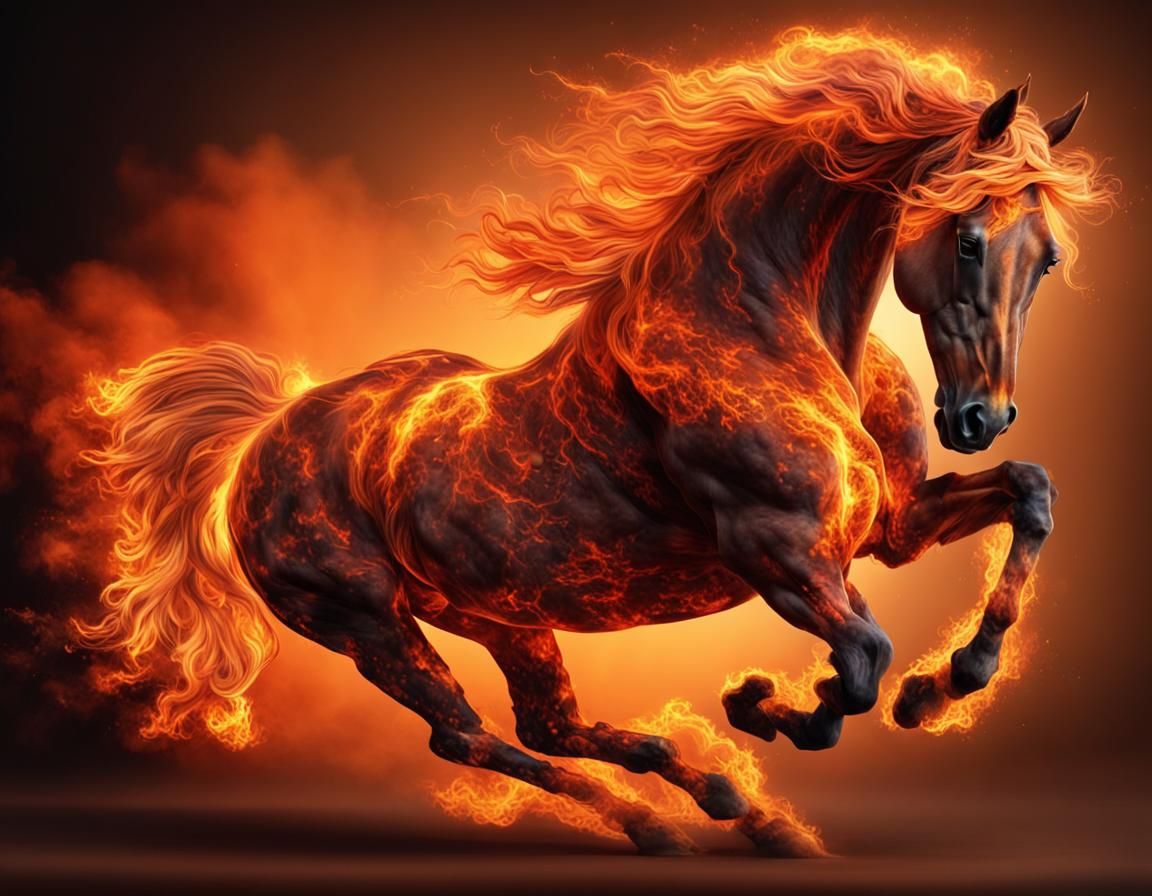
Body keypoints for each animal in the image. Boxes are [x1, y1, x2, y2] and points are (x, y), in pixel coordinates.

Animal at [80, 30, 1114, 856]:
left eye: (1048, 256)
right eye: (970, 237)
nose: (977, 416)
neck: (772, 324)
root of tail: (262, 435)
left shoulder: (888, 529)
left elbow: (1031, 493)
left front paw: (946, 685)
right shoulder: (780, 554)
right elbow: (859, 663)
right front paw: (770, 704)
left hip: (493, 612)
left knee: (548, 725)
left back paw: (731, 805)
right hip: (364, 621)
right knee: (467, 736)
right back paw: (665, 821)